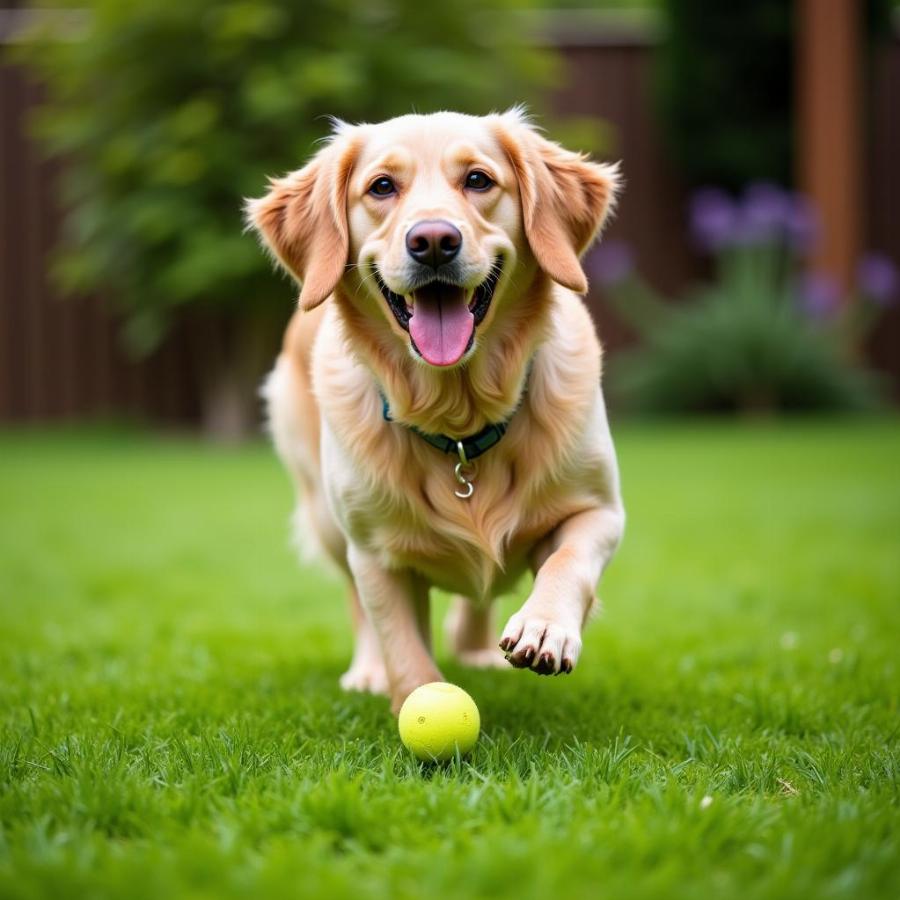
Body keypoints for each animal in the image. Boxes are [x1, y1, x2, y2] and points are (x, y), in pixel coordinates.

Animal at [246, 107, 624, 712]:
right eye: (382, 186)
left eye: (478, 180)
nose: (433, 241)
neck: (460, 419)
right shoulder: (374, 549)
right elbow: (401, 644)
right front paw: (417, 698)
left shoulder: (601, 510)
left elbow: (568, 562)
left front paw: (545, 627)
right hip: (328, 516)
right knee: (357, 602)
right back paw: (369, 671)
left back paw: (477, 645)